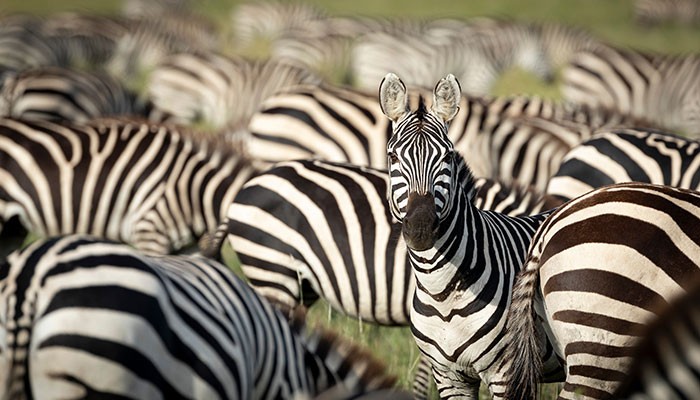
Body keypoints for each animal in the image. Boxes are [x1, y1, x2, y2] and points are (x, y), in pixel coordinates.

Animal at [373, 72, 566, 397]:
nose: (421, 227)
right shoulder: (448, 376)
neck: (441, 293)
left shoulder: (506, 374)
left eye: (447, 157)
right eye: (392, 156)